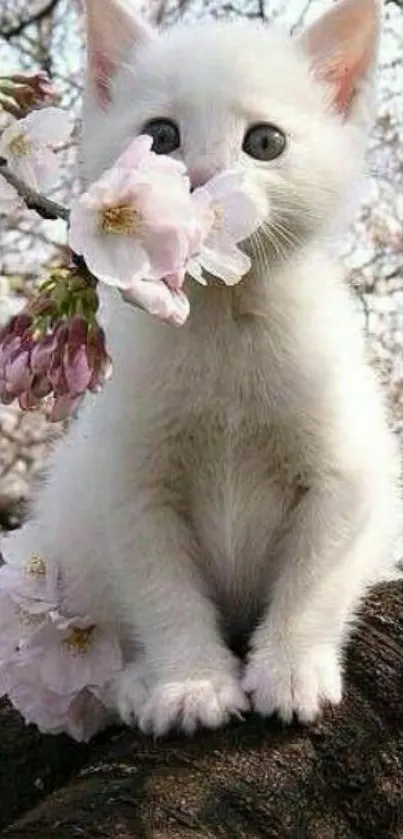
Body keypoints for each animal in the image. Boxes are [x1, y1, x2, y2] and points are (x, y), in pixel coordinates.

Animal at [5, 0, 400, 736]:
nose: (202, 178)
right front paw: (189, 682)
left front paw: (291, 669)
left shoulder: (346, 473)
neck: (223, 316)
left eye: (265, 143)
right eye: (161, 136)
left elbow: (314, 577)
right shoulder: (130, 485)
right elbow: (162, 591)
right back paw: (131, 683)